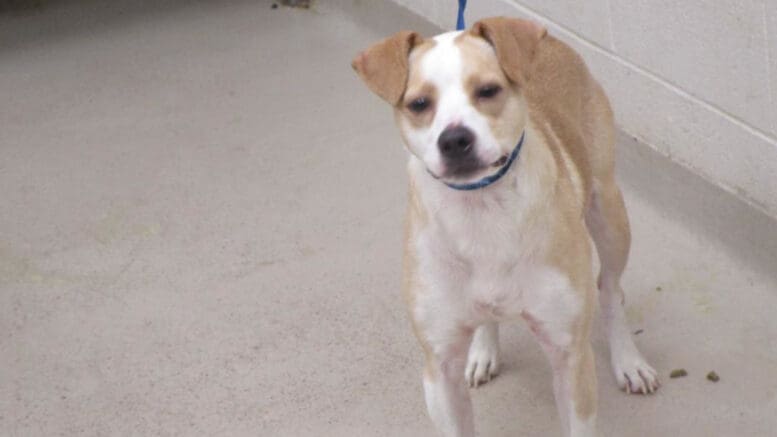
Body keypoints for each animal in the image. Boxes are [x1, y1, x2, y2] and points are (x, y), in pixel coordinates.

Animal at [354, 17, 660, 436]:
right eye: (419, 104)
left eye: (488, 90)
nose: (455, 139)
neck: (480, 212)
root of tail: (550, 39)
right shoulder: (439, 369)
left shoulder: (570, 357)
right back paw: (484, 351)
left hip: (609, 214)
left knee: (611, 289)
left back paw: (628, 361)